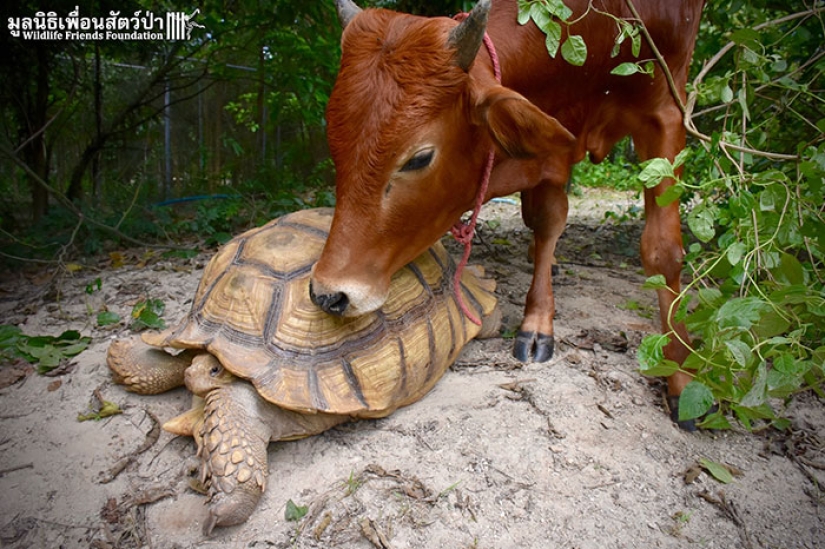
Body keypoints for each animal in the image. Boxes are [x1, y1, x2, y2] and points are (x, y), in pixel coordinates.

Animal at [309, 0, 705, 429]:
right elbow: (546, 219)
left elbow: (662, 251)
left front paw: (683, 375)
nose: (328, 293)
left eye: (419, 158)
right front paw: (539, 317)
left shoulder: (666, 108)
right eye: (334, 142)